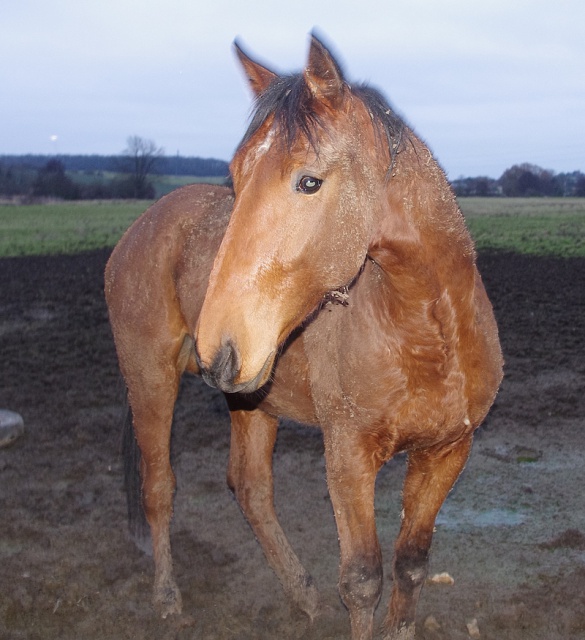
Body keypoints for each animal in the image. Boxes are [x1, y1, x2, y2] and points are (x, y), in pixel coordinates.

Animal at [104, 35, 502, 640]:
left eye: (309, 181)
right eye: (237, 175)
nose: (216, 342)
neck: (428, 338)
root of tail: (142, 226)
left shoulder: (447, 451)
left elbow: (411, 564)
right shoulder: (348, 458)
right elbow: (362, 580)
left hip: (251, 397)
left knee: (249, 487)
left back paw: (300, 592)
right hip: (151, 380)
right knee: (159, 487)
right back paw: (168, 597)